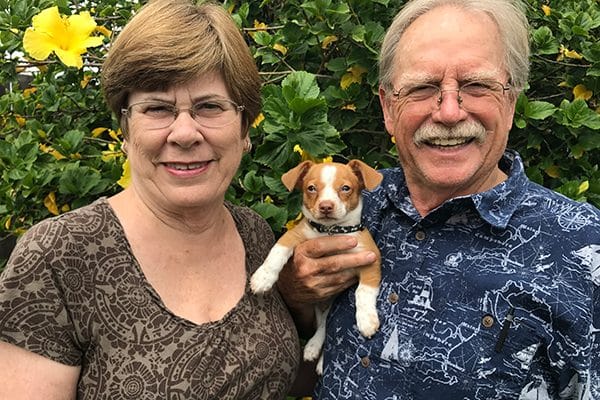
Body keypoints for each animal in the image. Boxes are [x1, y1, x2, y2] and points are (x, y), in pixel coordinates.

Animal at [250, 158, 382, 374]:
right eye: (311, 188)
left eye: (345, 188)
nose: (326, 206)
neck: (331, 232)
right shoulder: (294, 235)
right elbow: (276, 253)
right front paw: (263, 278)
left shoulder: (371, 259)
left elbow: (363, 292)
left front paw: (366, 319)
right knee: (322, 327)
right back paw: (313, 348)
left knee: (325, 327)